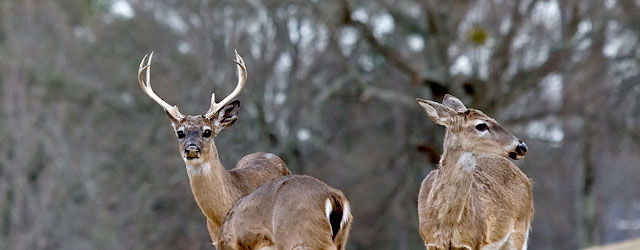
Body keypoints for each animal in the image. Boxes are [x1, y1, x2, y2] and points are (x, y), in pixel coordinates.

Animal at [416, 94, 536, 250]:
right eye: (481, 125)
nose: (522, 147)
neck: (447, 222)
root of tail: (527, 180)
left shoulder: (473, 241)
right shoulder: (430, 241)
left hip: (519, 232)